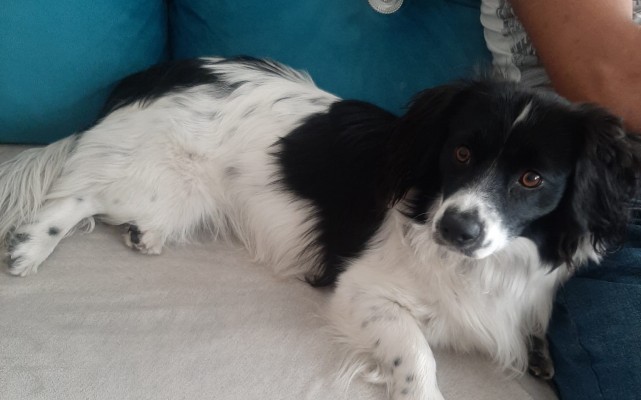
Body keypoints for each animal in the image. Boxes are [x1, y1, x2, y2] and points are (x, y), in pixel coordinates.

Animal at [2, 57, 640, 400]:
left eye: (532, 179)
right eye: (459, 154)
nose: (457, 228)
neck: (479, 267)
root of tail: (166, 70)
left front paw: (541, 354)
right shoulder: (363, 290)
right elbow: (417, 353)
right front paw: (422, 387)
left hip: (177, 198)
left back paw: (145, 236)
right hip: (155, 178)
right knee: (76, 192)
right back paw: (29, 247)